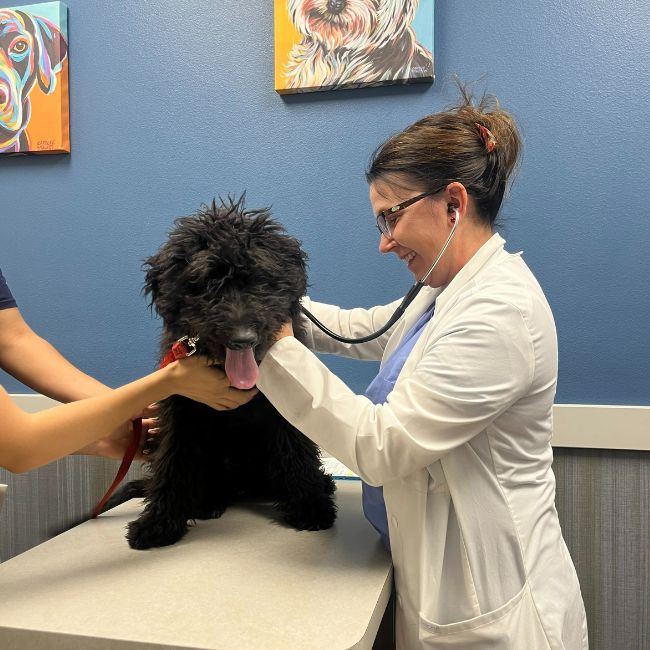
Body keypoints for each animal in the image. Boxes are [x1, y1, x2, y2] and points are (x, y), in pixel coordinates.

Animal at [105, 197, 334, 548]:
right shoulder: (182, 410)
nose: (243, 338)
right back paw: (208, 502)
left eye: (259, 279)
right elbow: (173, 462)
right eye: (207, 285)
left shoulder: (285, 408)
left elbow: (297, 451)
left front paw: (310, 505)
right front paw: (158, 522)